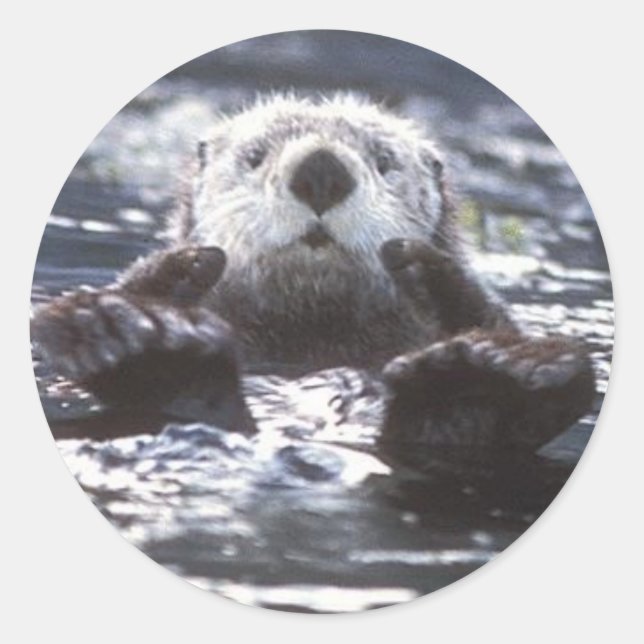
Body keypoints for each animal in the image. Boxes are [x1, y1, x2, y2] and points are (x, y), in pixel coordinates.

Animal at [31, 95, 595, 450]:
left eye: (384, 160)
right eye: (255, 156)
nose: (322, 169)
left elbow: (488, 311)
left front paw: (429, 269)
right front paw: (185, 268)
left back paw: (483, 377)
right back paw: (131, 337)